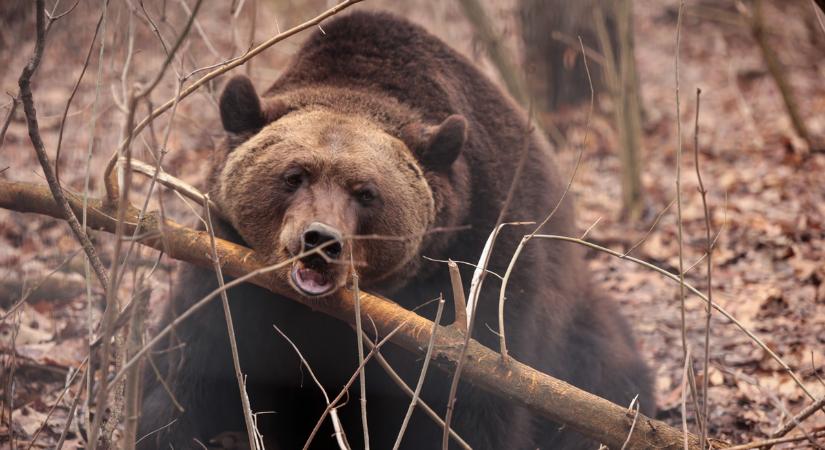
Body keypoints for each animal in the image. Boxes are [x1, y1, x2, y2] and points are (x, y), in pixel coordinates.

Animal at [138, 10, 653, 450]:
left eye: (366, 193)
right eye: (293, 175)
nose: (320, 240)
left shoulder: (483, 268)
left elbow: (474, 403)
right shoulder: (225, 272)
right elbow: (192, 371)